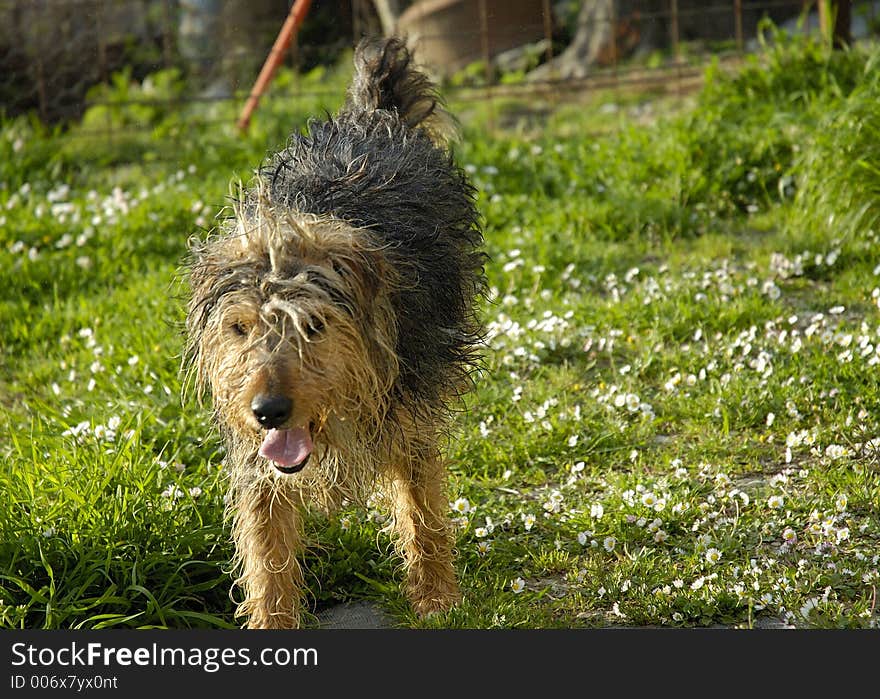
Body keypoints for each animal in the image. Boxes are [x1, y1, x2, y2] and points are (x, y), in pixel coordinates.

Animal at [186, 37, 488, 628]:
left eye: (315, 325)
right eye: (239, 328)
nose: (268, 411)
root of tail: (371, 117)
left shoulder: (409, 412)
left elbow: (421, 507)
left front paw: (436, 597)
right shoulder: (257, 461)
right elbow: (267, 553)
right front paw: (273, 622)